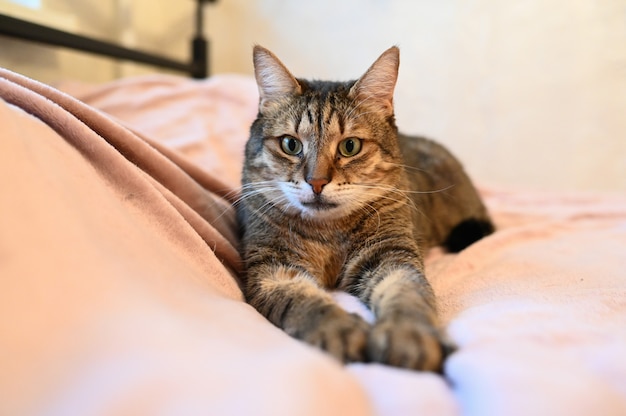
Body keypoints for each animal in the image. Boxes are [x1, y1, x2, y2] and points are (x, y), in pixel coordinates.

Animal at [235, 44, 492, 370]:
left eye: (350, 146)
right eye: (291, 145)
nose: (316, 182)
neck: (328, 232)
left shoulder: (391, 254)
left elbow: (407, 291)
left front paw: (409, 335)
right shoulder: (272, 268)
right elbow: (305, 302)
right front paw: (340, 330)